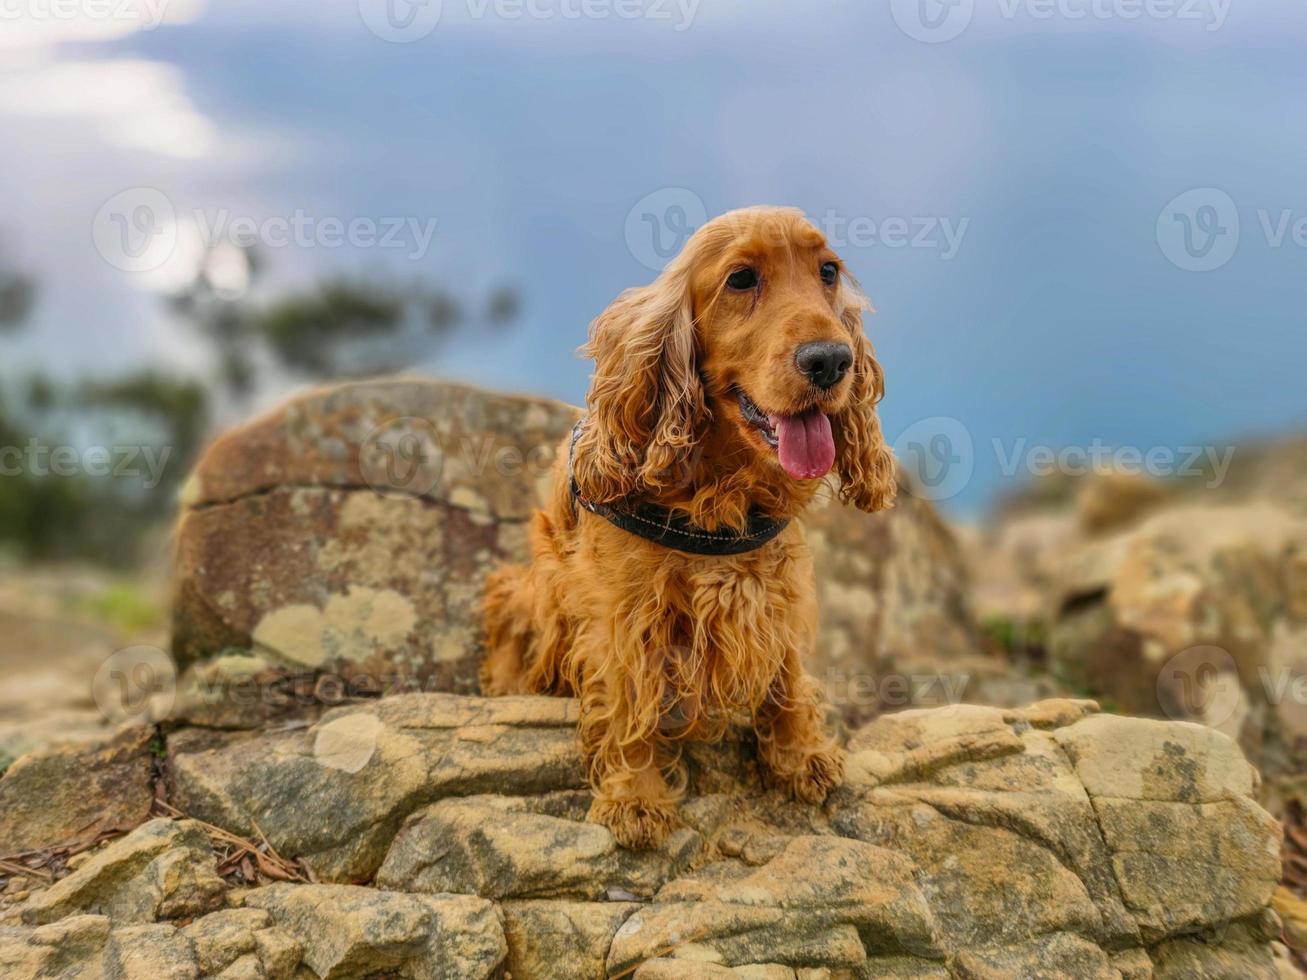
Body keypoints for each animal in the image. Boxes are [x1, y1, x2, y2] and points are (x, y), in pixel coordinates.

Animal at [480, 209, 899, 851]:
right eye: (741, 279)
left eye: (828, 271)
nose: (830, 360)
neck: (720, 496)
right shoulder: (621, 614)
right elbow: (627, 703)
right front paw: (634, 797)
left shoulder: (776, 587)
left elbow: (787, 674)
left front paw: (800, 755)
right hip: (533, 590)